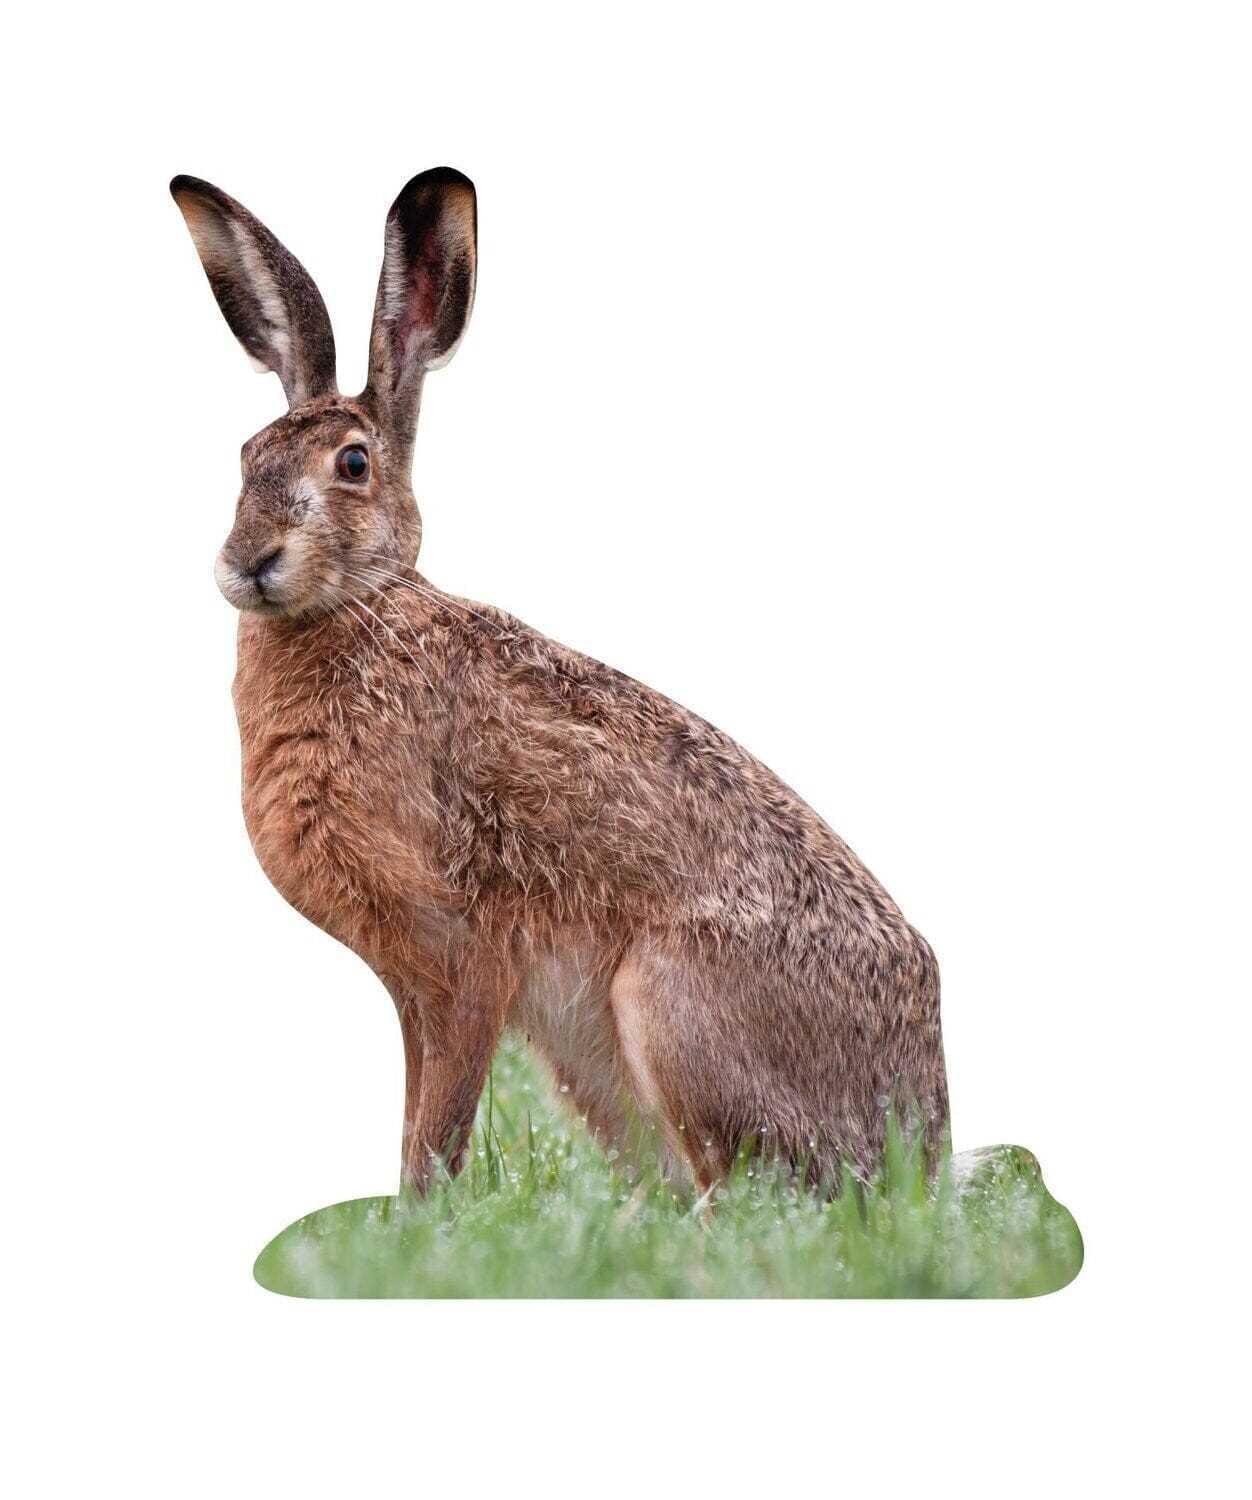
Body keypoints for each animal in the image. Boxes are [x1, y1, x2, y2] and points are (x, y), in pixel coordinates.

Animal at [171, 168, 948, 1195]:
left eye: (352, 464)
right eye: (245, 458)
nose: (247, 563)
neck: (366, 608)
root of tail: (929, 1140)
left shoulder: (461, 953)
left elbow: (437, 1132)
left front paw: (420, 1223)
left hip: (667, 1004)